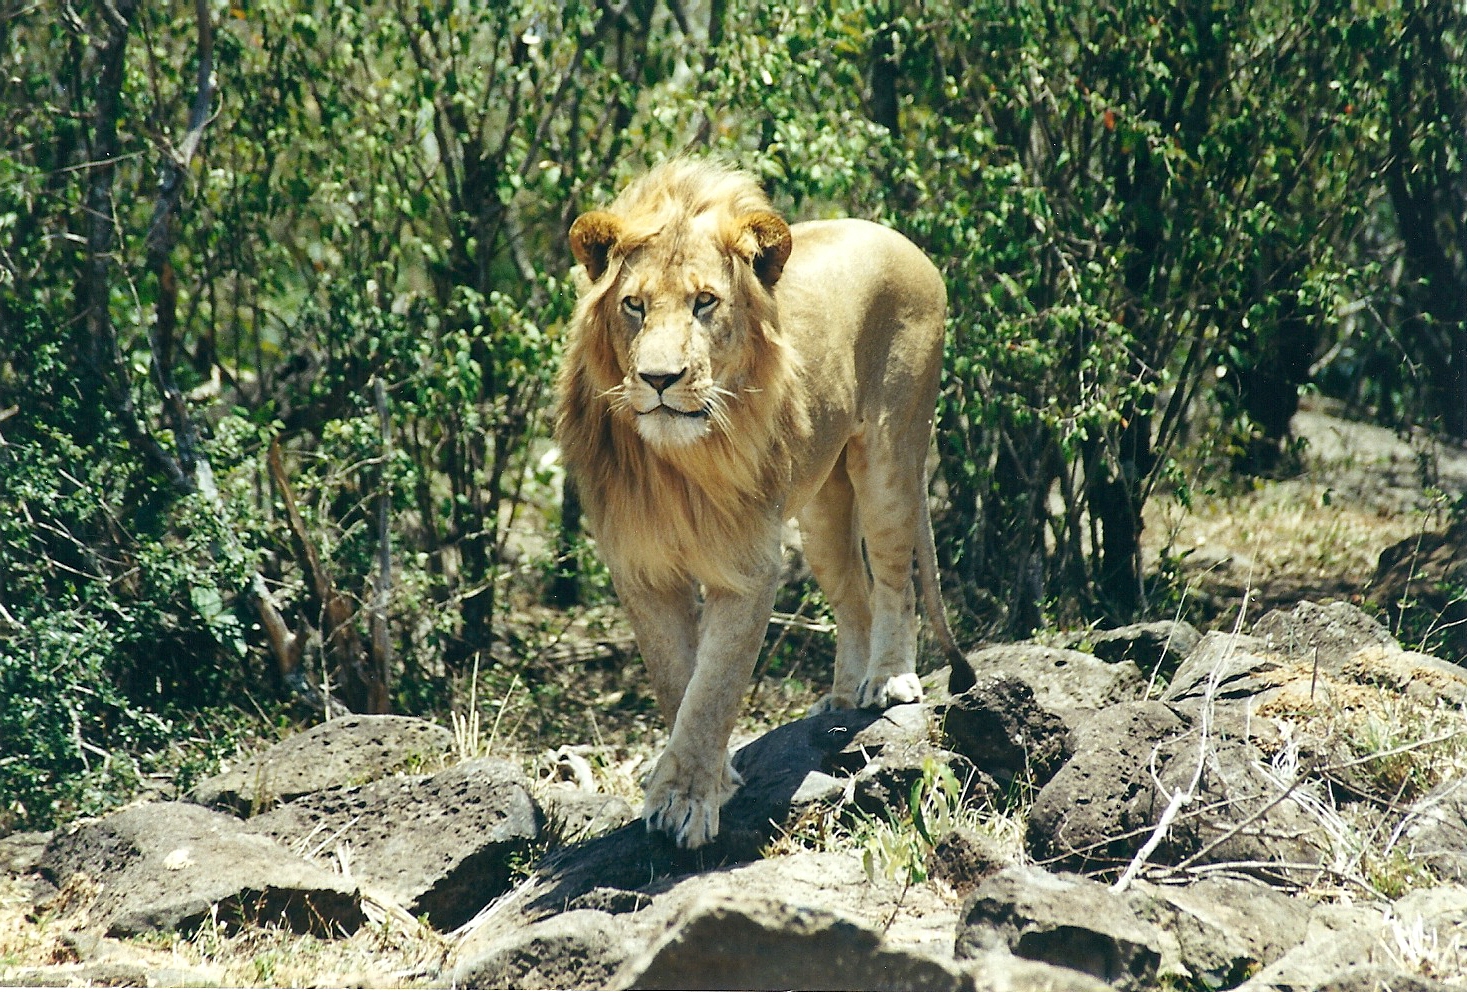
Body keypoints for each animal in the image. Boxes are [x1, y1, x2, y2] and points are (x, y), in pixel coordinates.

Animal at [554, 159, 968, 851]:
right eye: (633, 305)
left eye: (705, 302)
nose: (659, 380)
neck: (677, 466)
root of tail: (900, 238)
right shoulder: (642, 571)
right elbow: (678, 681)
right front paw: (706, 777)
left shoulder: (746, 567)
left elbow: (714, 686)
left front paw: (687, 801)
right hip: (821, 510)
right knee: (853, 595)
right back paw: (840, 698)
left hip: (891, 456)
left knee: (893, 577)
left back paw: (887, 680)